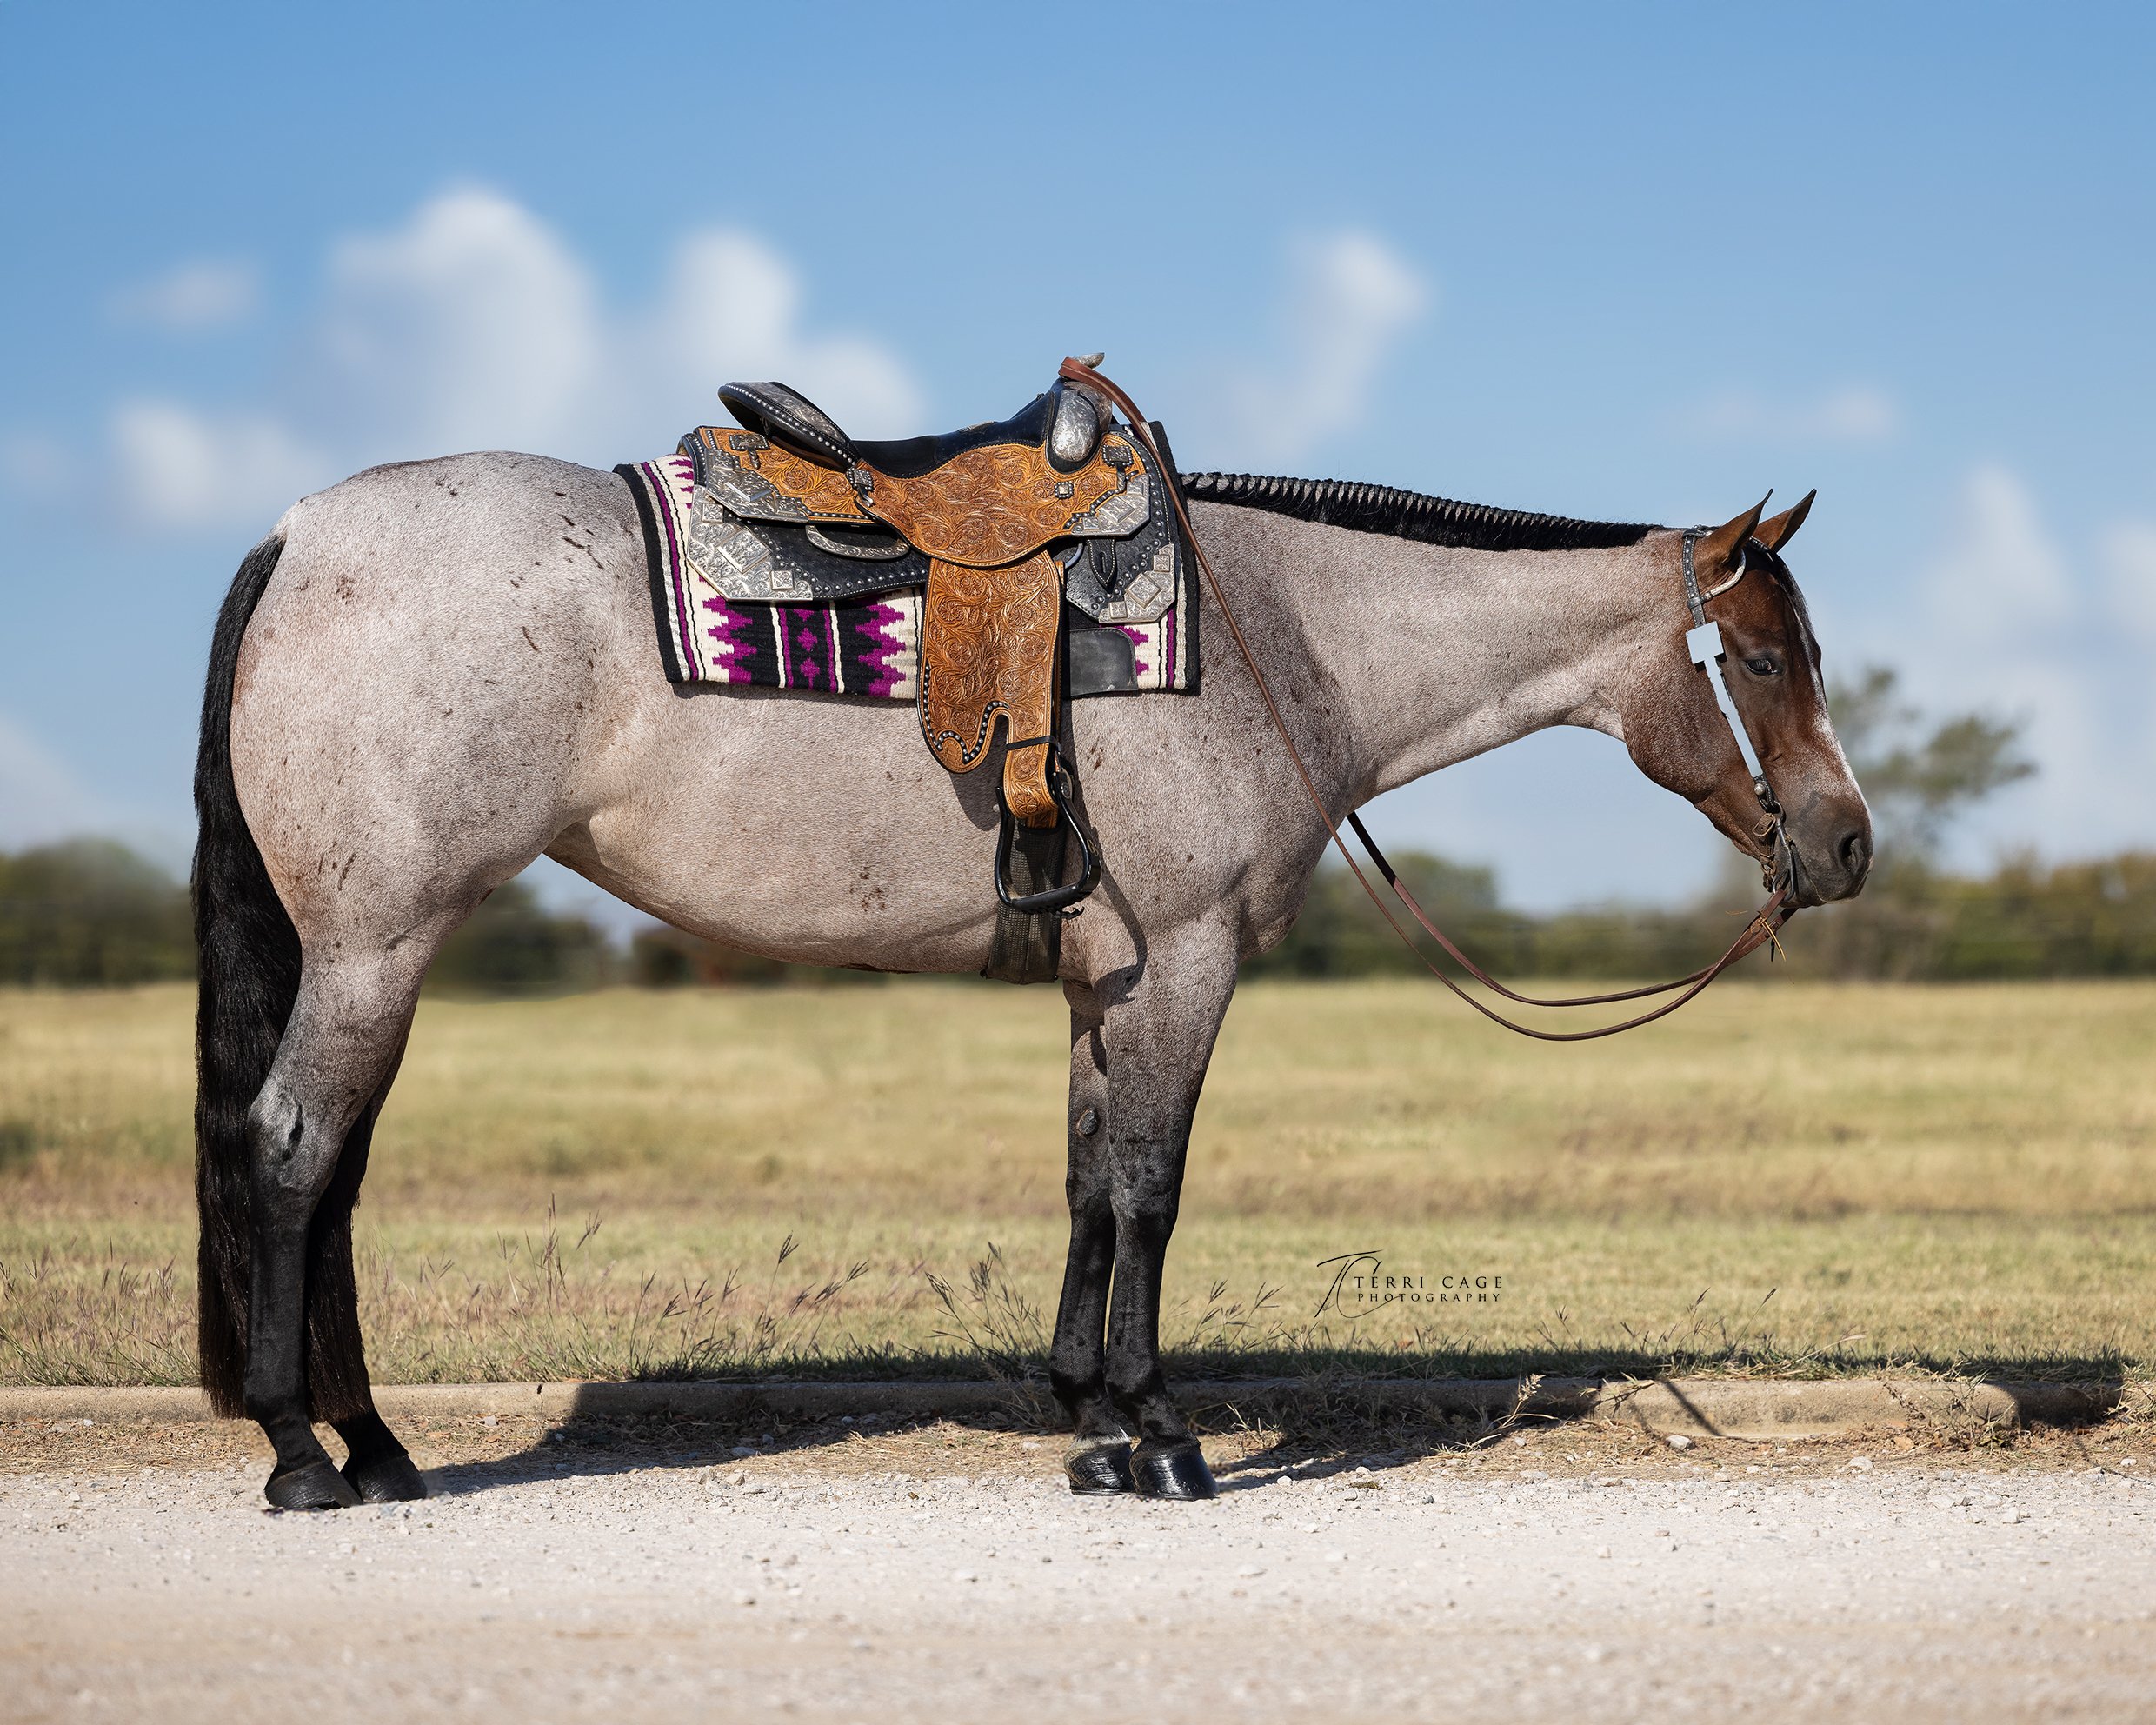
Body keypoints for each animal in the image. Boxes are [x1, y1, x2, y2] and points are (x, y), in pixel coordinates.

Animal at [191, 440, 1871, 1510]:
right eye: (1762, 660)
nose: (1849, 844)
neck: (1278, 639)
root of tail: (302, 533)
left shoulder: (1100, 982)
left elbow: (1086, 1184)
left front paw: (1086, 1423)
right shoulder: (1184, 963)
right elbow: (1152, 1191)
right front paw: (1164, 1437)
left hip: (372, 959)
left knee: (329, 1176)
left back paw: (373, 1444)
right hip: (375, 948)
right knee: (290, 1155)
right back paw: (304, 1453)